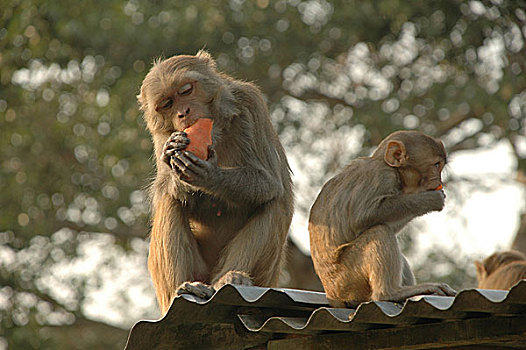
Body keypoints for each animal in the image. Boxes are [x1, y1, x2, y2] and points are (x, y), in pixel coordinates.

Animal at [138, 51, 294, 314]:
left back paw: (231, 278)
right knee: (170, 201)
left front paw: (210, 176)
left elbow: (269, 182)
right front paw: (173, 159)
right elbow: (165, 191)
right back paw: (185, 289)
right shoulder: (159, 134)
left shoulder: (250, 103)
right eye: (167, 104)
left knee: (276, 203)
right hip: (196, 272)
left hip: (265, 276)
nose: (183, 112)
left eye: (186, 90)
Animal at [310, 131, 458, 306]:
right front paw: (430, 199)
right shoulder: (381, 176)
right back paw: (390, 293)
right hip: (346, 279)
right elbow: (363, 216)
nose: (439, 181)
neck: (389, 167)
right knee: (380, 232)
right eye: (436, 165)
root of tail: (332, 295)